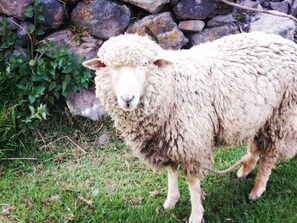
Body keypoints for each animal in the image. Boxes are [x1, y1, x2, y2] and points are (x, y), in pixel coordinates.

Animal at [82, 31, 296, 223]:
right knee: (256, 145)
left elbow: (193, 184)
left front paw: (196, 215)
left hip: (282, 115)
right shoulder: (167, 140)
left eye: (145, 64)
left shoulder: (191, 142)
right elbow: (171, 171)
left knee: (269, 155)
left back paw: (257, 189)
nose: (127, 99)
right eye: (107, 66)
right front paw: (171, 201)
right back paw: (245, 169)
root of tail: (286, 42)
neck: (171, 86)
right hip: (259, 116)